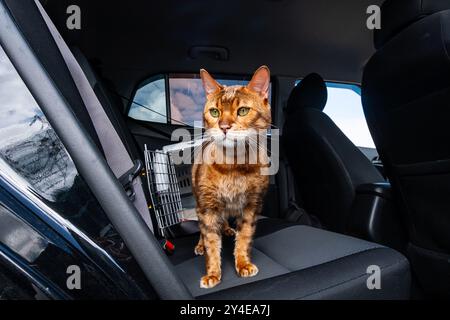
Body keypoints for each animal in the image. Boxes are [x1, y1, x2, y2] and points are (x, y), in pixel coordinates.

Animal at [192, 66, 272, 288]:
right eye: (214, 112)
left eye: (243, 110)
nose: (224, 126)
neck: (233, 167)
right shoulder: (207, 207)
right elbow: (211, 242)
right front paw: (212, 273)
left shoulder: (252, 206)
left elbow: (244, 238)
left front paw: (243, 263)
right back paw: (200, 244)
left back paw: (227, 229)